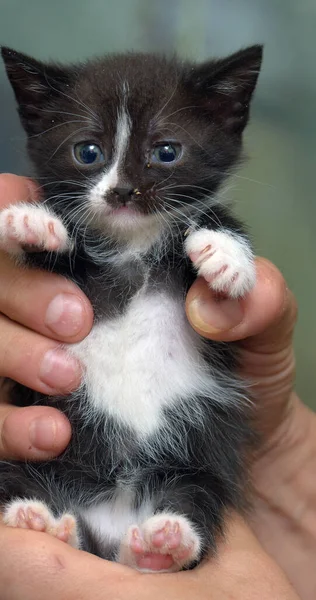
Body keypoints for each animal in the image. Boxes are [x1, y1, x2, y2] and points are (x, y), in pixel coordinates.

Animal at [0, 45, 262, 572]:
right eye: (88, 152)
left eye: (166, 152)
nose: (121, 192)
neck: (132, 244)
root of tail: (114, 519)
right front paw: (32, 223)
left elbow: (218, 225)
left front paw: (225, 257)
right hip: (25, 463)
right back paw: (38, 519)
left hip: (196, 462)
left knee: (193, 496)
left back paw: (165, 544)